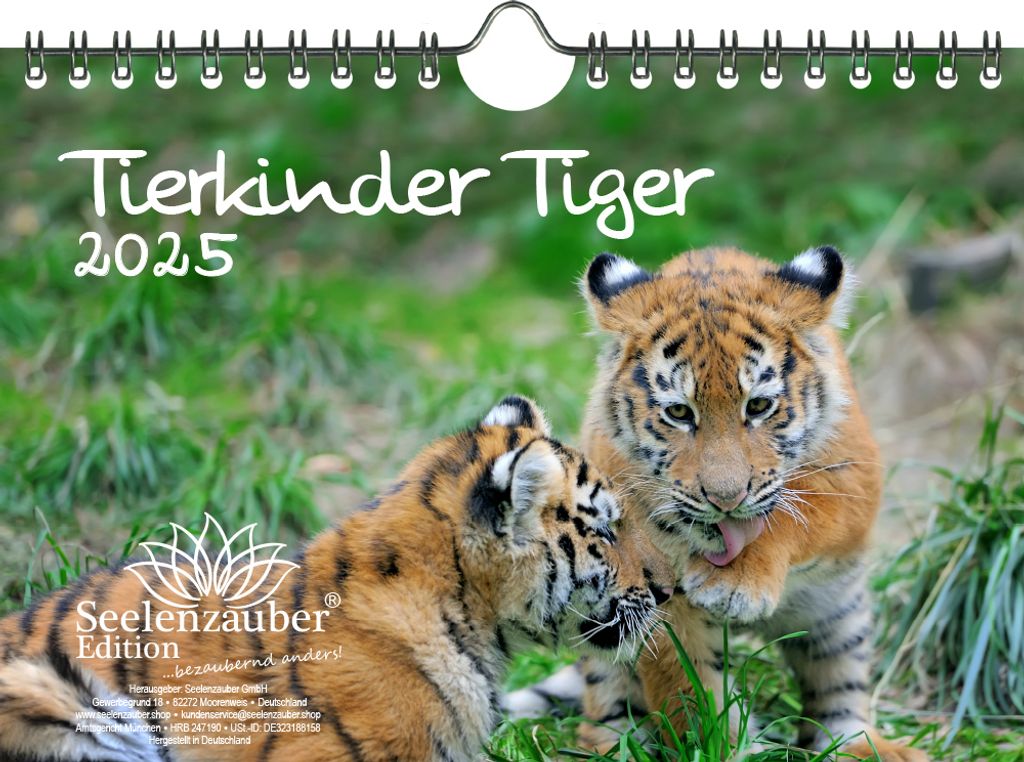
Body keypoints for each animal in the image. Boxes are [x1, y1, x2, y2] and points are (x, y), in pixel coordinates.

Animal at [507, 247, 927, 761]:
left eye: (760, 406)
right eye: (679, 412)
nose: (726, 499)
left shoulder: (853, 483)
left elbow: (796, 516)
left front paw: (736, 583)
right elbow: (686, 686)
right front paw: (714, 745)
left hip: (840, 616)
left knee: (838, 693)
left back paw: (864, 747)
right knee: (605, 698)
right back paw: (614, 743)